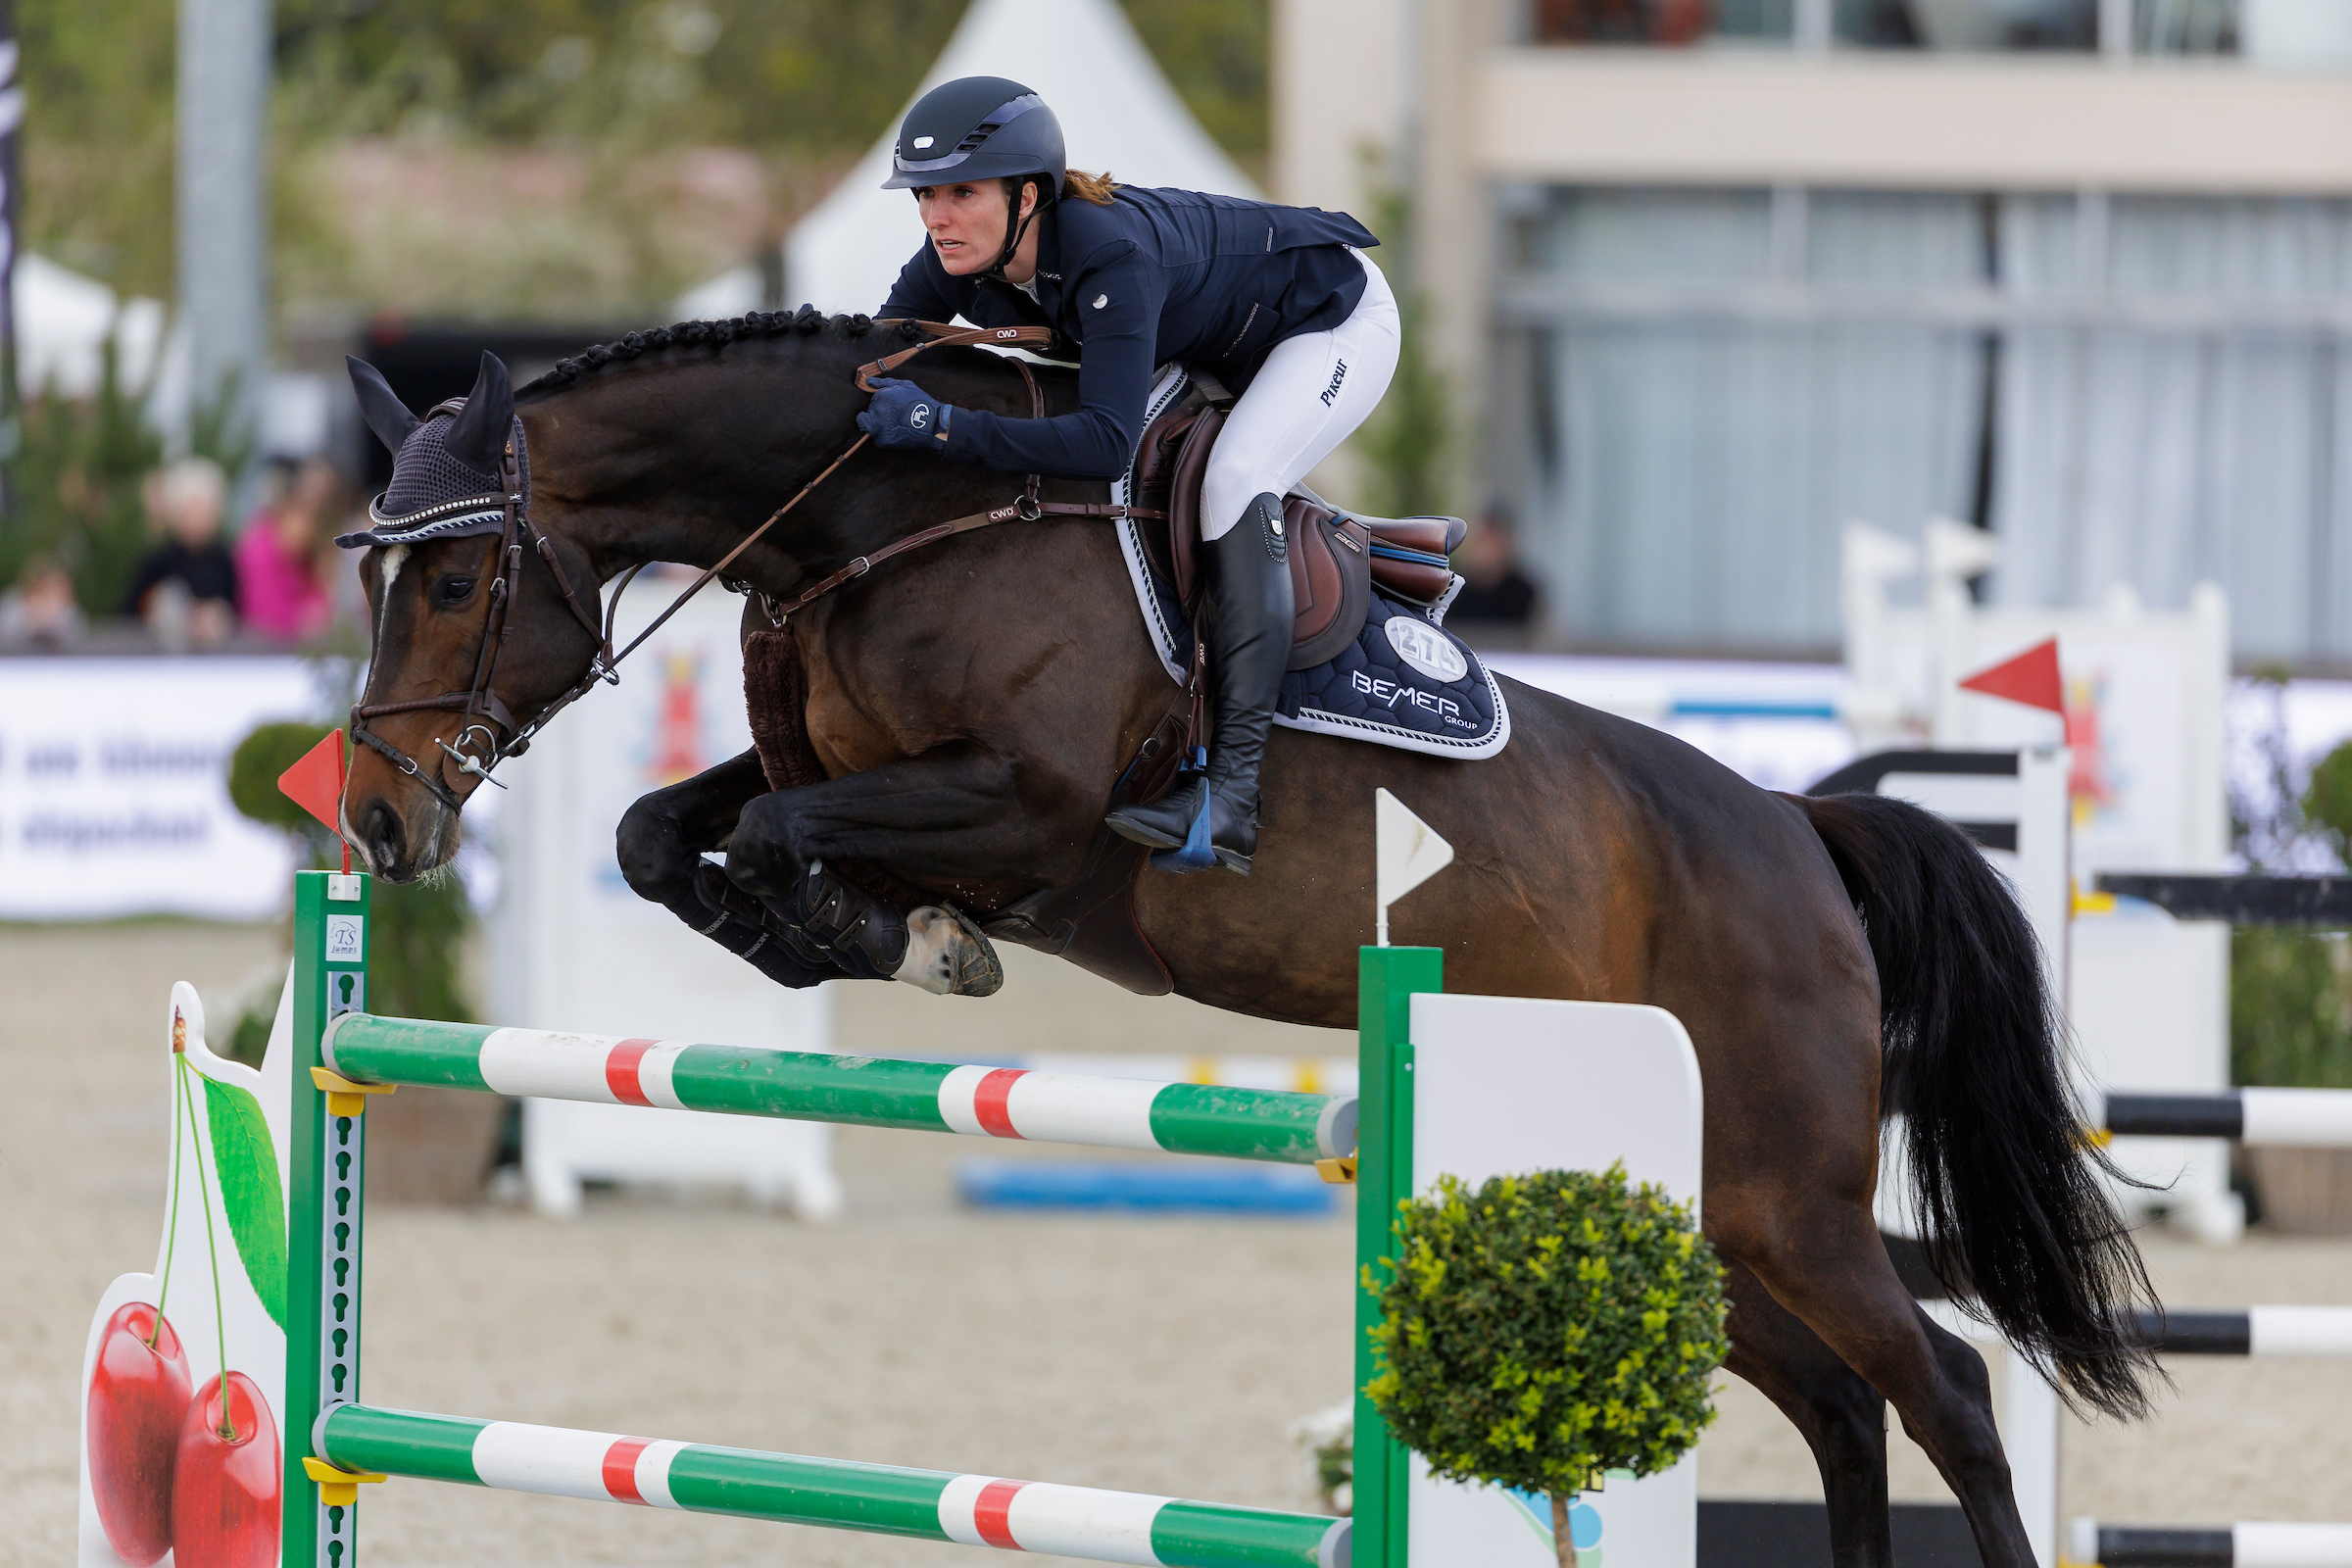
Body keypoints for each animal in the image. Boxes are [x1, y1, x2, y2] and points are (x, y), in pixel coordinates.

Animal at [341, 310, 2154, 1568]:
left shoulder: (1030, 807)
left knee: (1946, 1393)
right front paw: (817, 933)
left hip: (1787, 1195)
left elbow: (793, 840)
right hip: (1691, 1206)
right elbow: (665, 833)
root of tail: (1796, 831)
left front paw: (894, 936)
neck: (895, 513)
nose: (373, 823)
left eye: (453, 584)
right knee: (1845, 1404)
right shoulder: (850, 770)